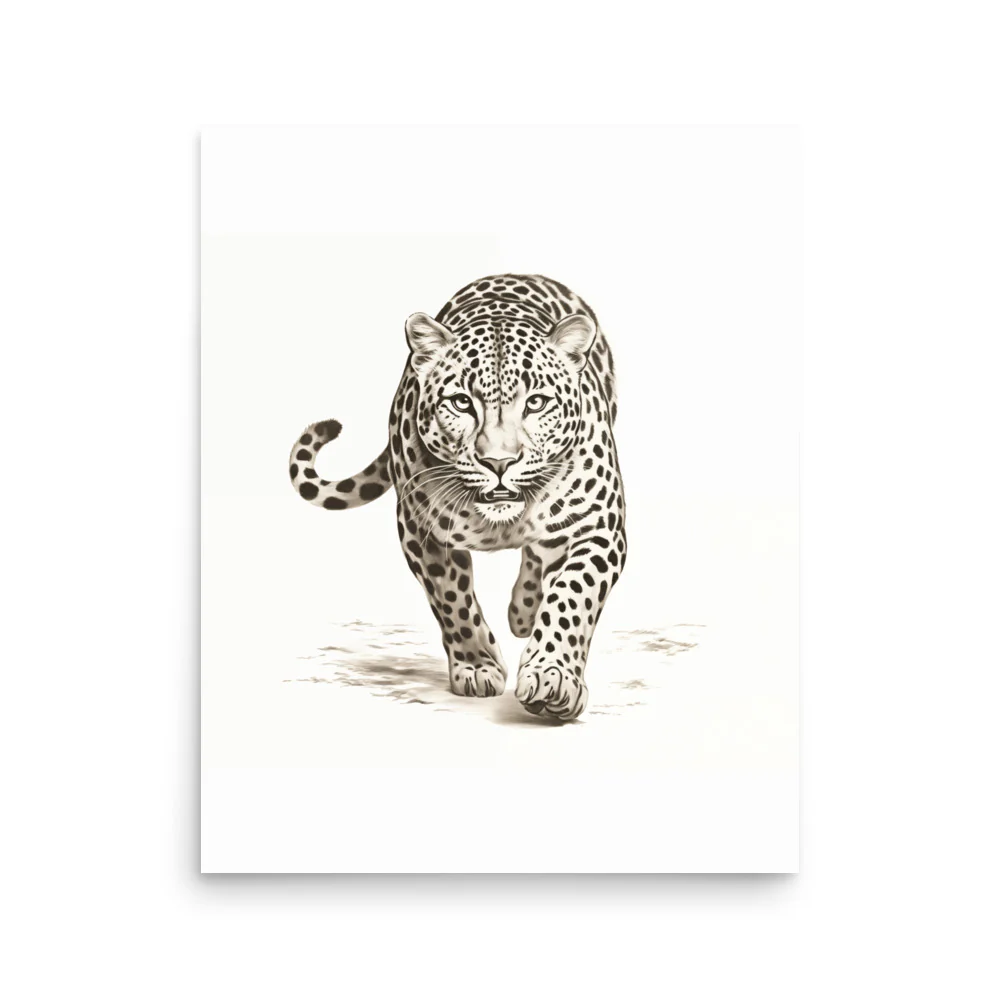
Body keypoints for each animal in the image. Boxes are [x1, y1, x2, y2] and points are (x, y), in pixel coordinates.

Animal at [289, 274, 626, 721]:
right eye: (461, 402)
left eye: (536, 402)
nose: (499, 462)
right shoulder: (422, 532)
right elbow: (452, 600)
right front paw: (479, 667)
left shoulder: (598, 527)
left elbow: (572, 597)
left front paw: (552, 677)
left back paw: (524, 613)